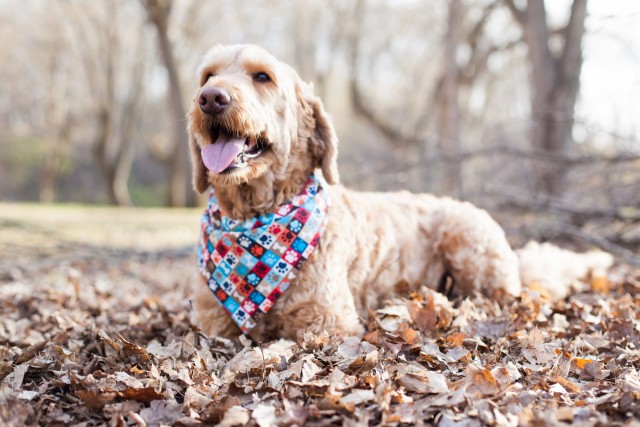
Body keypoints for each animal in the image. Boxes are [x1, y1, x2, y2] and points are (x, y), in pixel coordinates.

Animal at [185, 44, 608, 342]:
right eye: (207, 75)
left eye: (262, 76)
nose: (211, 98)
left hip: (471, 248)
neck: (255, 217)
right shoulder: (211, 321)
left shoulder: (330, 321)